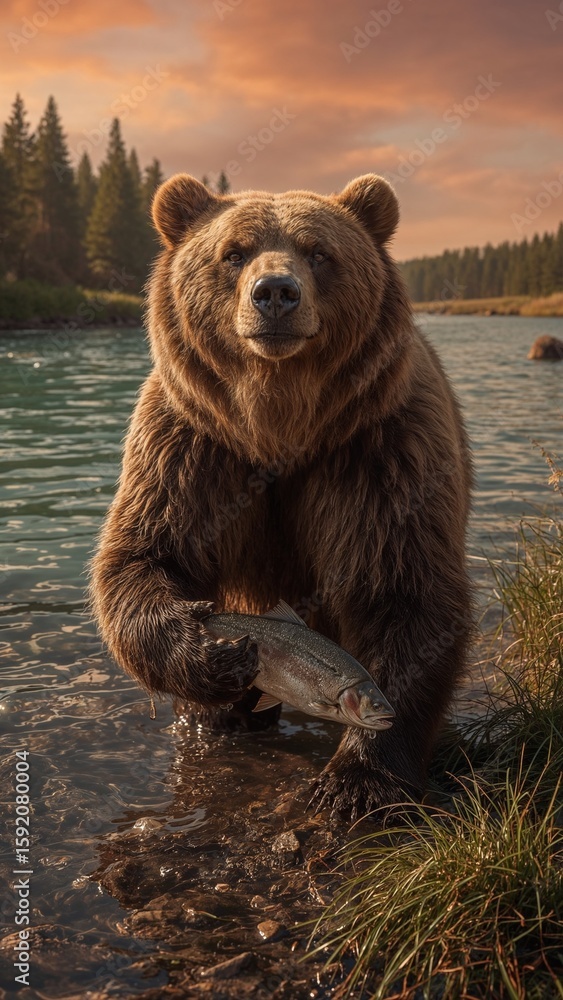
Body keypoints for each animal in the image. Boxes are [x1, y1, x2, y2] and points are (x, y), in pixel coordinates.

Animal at [90, 172, 473, 821]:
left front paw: (356, 781)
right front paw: (206, 651)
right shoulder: (191, 447)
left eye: (319, 252)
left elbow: (406, 590)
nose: (275, 292)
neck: (279, 426)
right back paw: (217, 718)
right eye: (233, 252)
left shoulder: (381, 453)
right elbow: (146, 555)